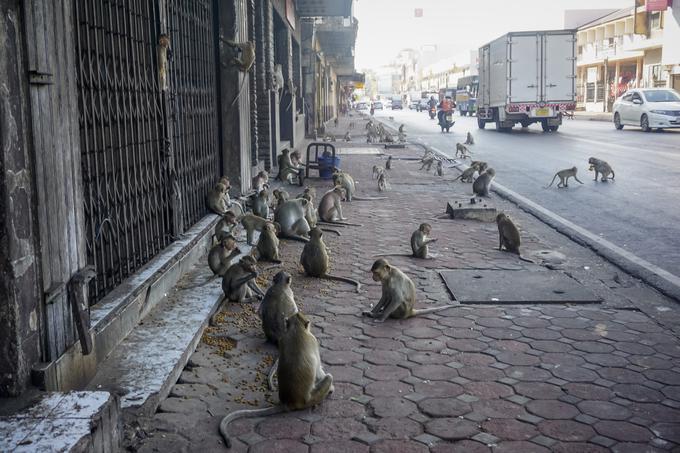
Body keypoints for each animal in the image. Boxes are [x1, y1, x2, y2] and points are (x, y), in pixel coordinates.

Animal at [219, 312, 334, 446]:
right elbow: (319, 373)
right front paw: (332, 388)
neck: (296, 330)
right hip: (310, 399)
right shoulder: (313, 340)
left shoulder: (283, 339)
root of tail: (288, 402)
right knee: (328, 377)